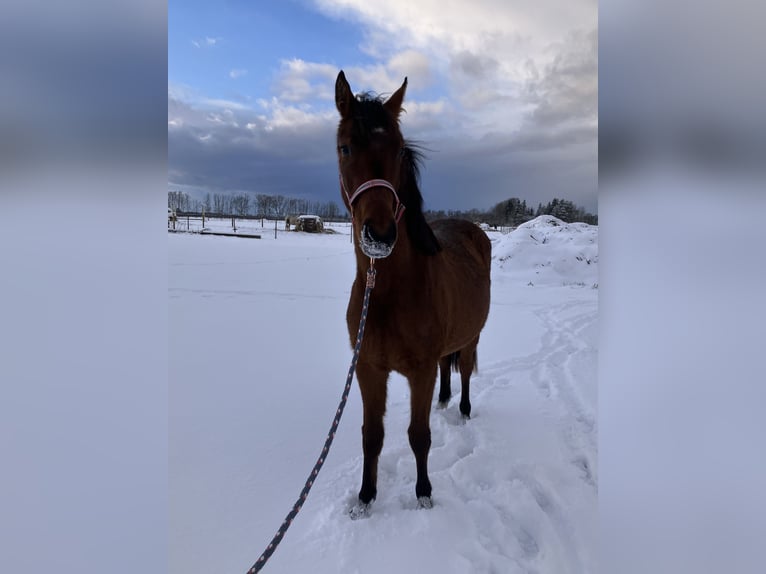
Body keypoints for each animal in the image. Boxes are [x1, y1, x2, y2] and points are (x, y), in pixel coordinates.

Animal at [336, 70, 492, 516]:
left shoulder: (418, 371)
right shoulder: (368, 368)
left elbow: (418, 435)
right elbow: (372, 434)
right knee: (447, 368)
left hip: (472, 336)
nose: (380, 235)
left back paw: (462, 409)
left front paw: (424, 495)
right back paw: (444, 401)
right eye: (345, 147)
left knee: (465, 370)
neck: (389, 293)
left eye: (399, 149)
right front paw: (365, 499)